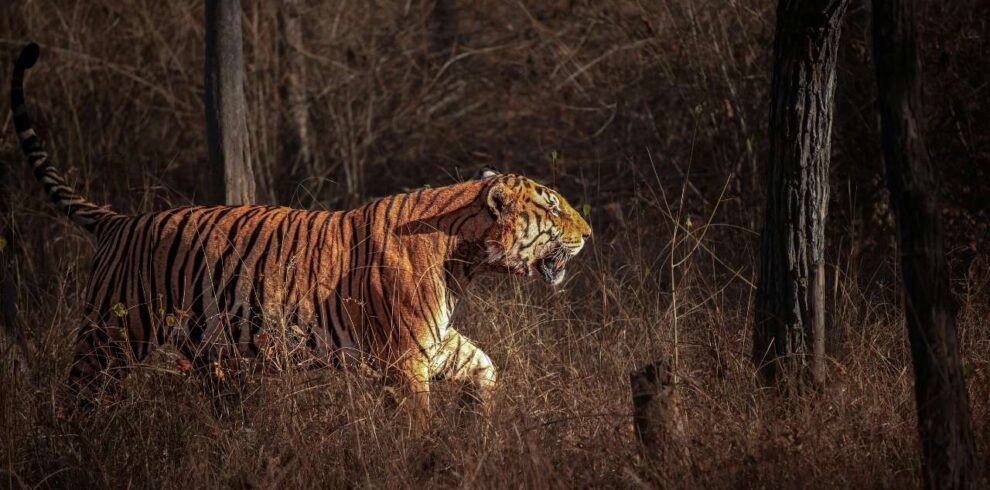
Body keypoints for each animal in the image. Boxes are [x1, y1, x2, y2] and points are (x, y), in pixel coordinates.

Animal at [10, 43, 591, 426]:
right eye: (553, 206)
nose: (589, 232)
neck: (464, 260)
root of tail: (119, 221)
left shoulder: (436, 343)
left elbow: (485, 367)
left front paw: (477, 424)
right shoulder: (404, 359)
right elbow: (416, 425)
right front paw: (429, 459)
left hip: (210, 354)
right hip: (108, 338)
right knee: (78, 400)